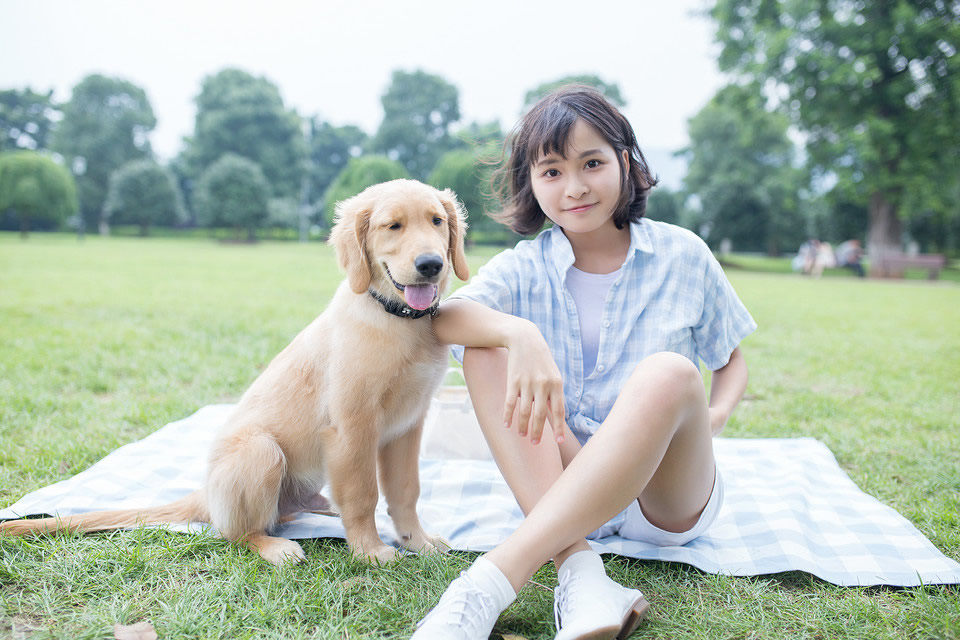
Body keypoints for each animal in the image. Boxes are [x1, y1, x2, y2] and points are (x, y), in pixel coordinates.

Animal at [0, 178, 470, 564]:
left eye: (437, 221)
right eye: (393, 226)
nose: (431, 264)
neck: (399, 319)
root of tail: (205, 495)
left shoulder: (407, 425)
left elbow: (406, 492)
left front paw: (417, 542)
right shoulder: (352, 427)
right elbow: (362, 494)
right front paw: (371, 551)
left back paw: (317, 507)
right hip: (260, 452)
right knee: (235, 532)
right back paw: (276, 547)